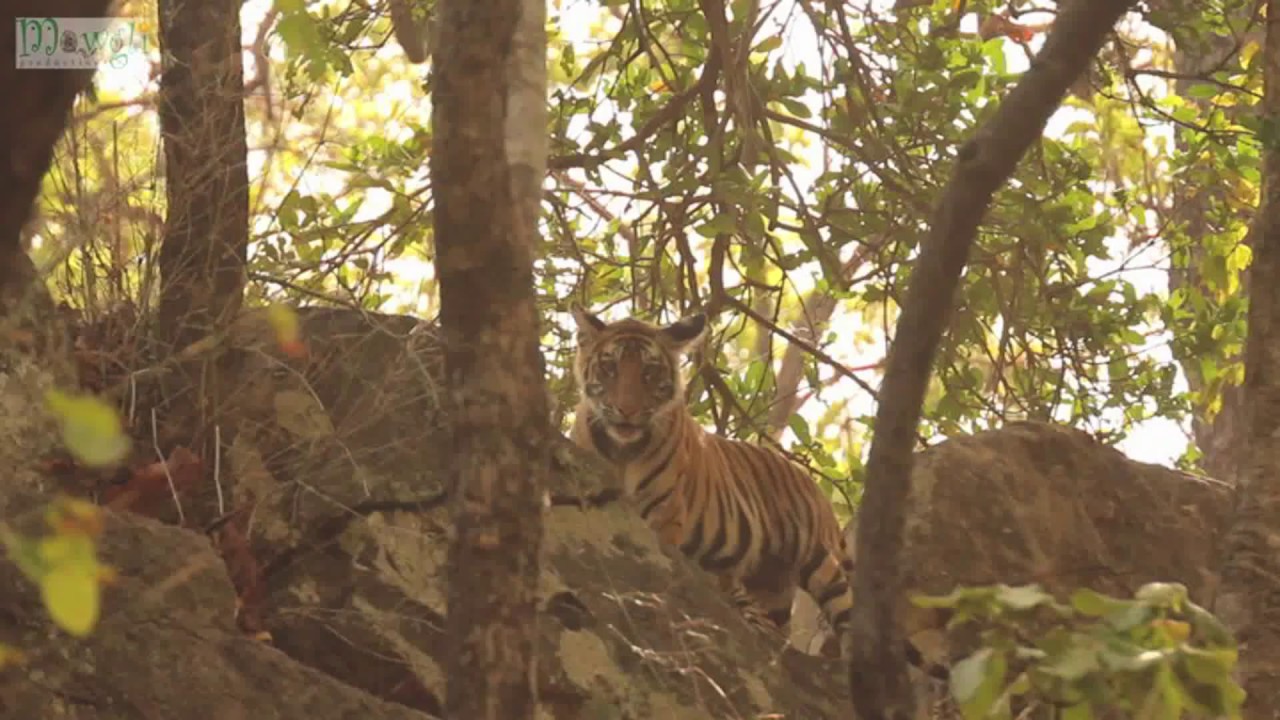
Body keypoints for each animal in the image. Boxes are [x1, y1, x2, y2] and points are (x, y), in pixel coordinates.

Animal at [568, 303, 857, 653]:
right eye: (609, 368)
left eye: (649, 372)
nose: (627, 410)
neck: (622, 452)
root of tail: (811, 482)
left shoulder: (663, 516)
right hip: (770, 589)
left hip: (822, 562)